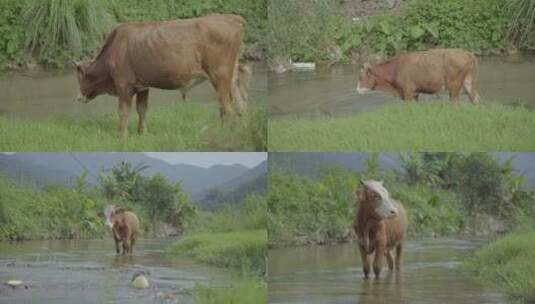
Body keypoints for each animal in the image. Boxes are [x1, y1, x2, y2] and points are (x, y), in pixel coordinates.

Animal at [74, 13, 248, 138]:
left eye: (79, 78)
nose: (78, 97)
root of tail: (232, 18)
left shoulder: (123, 84)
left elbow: (124, 111)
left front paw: (121, 136)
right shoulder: (142, 85)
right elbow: (141, 109)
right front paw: (142, 133)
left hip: (220, 76)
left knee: (227, 107)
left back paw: (226, 134)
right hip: (231, 77)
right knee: (240, 104)